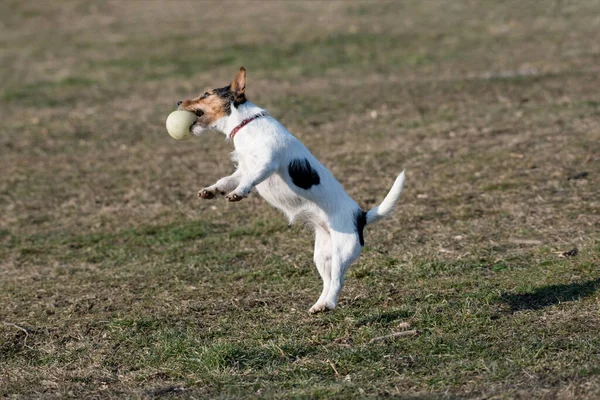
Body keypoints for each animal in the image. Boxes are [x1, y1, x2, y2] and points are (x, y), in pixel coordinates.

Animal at [176, 67, 406, 314]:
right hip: (321, 255)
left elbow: (249, 180)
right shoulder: (241, 169)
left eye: (206, 94)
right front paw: (210, 190)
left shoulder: (266, 164)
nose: (178, 101)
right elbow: (226, 180)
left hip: (343, 249)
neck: (246, 124)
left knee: (338, 280)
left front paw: (238, 193)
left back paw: (328, 304)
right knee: (329, 281)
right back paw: (319, 305)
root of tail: (361, 216)